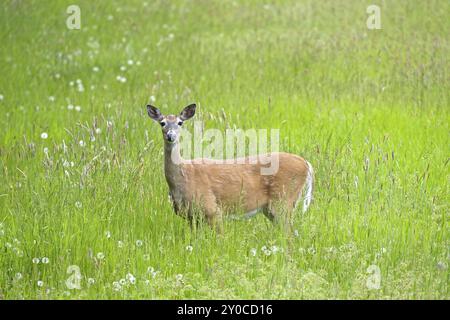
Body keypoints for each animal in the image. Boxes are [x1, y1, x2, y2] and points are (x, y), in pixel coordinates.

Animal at [147, 104, 312, 231]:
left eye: (180, 122)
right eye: (162, 123)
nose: (171, 136)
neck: (184, 176)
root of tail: (306, 164)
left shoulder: (213, 209)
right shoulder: (191, 217)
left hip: (283, 200)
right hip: (273, 208)